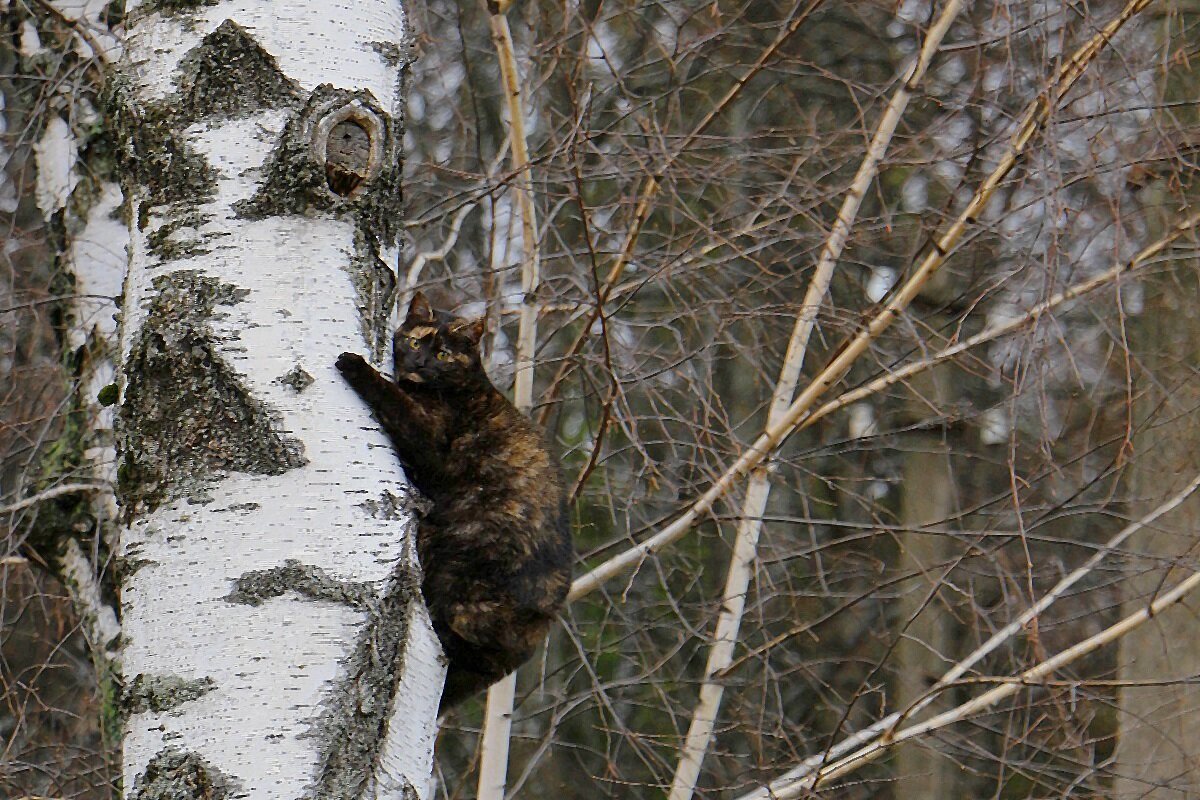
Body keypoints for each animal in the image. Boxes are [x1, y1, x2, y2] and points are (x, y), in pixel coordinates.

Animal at [331, 291, 568, 710]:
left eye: (442, 353)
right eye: (414, 342)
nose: (420, 362)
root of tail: (544, 622)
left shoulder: (431, 441)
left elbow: (395, 400)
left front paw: (357, 367)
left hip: (459, 574)